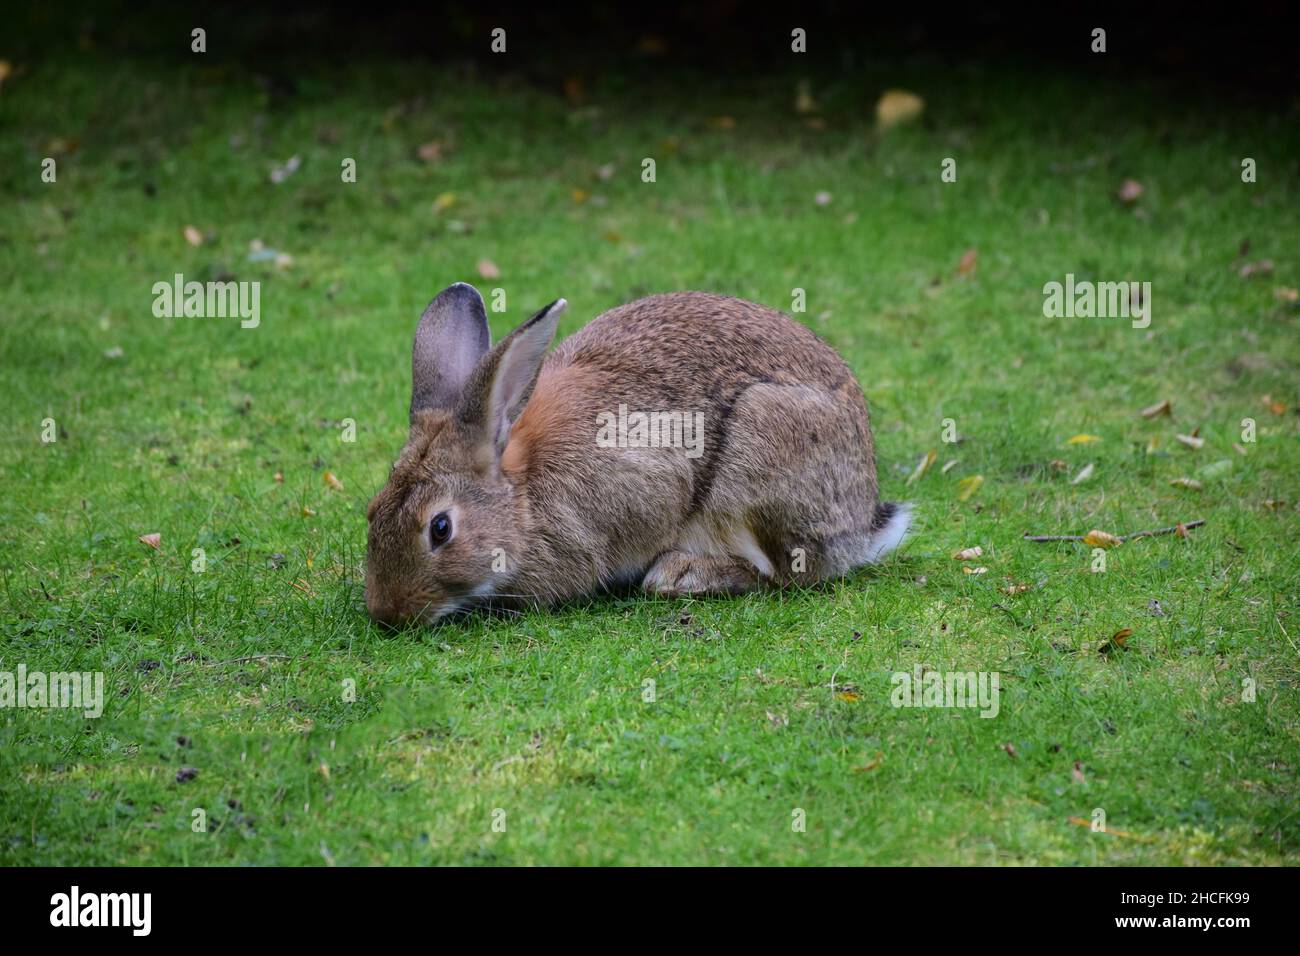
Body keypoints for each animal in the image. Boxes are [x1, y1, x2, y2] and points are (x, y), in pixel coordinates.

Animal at [364, 282, 915, 629]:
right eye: (371, 511)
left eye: (440, 529)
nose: (388, 613)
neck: (522, 497)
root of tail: (861, 522)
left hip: (758, 455)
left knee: (783, 574)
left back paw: (681, 576)